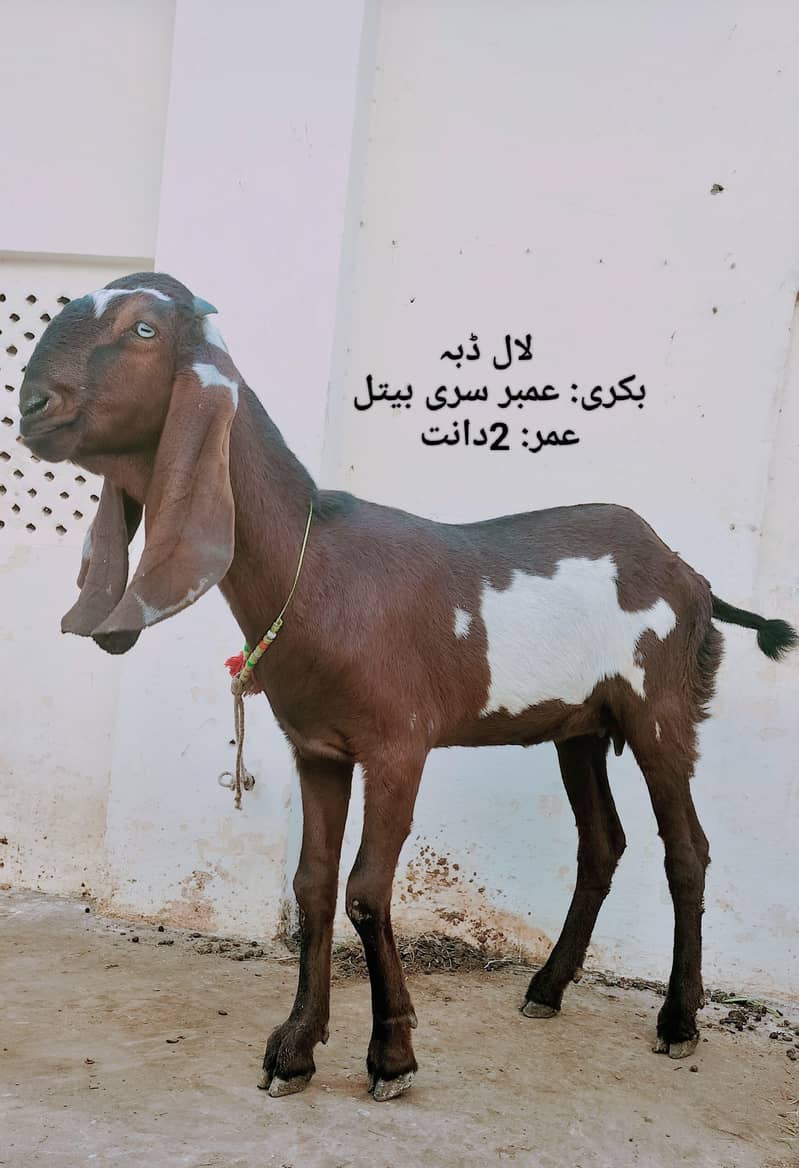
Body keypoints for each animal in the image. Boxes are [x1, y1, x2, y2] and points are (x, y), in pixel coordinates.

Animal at [18, 272, 797, 1102]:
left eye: (143, 330)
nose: (31, 405)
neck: (318, 568)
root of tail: (691, 577)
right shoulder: (318, 748)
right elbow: (313, 886)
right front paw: (294, 1051)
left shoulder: (397, 745)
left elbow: (365, 888)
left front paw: (390, 1055)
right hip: (581, 725)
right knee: (602, 844)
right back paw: (546, 988)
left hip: (659, 707)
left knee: (686, 849)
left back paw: (677, 1022)